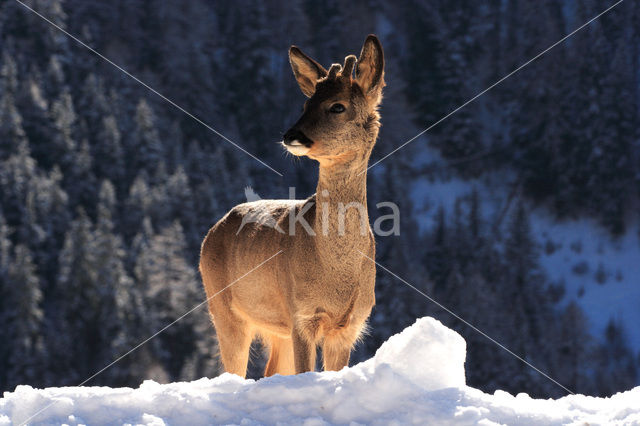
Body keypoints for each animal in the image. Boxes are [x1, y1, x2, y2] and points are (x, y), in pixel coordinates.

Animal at [200, 35, 382, 378]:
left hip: (276, 328)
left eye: (337, 106)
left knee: (270, 371)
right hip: (223, 307)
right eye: (305, 104)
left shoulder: (349, 325)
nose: (291, 135)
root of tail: (213, 229)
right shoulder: (301, 313)